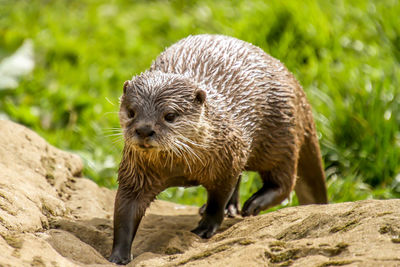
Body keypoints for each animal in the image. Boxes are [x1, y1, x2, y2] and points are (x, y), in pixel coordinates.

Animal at [108, 34, 328, 264]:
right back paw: (232, 207)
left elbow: (218, 198)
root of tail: (293, 81)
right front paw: (119, 255)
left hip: (280, 137)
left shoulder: (226, 162)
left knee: (284, 181)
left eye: (169, 116)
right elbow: (125, 210)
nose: (144, 130)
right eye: (131, 112)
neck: (181, 168)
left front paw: (205, 228)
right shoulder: (136, 172)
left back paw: (253, 204)